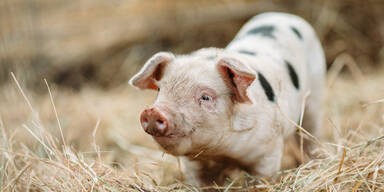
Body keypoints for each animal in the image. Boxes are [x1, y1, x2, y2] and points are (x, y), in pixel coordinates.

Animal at [128, 12, 324, 186]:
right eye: (160, 90)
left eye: (206, 97)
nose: (152, 112)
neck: (222, 153)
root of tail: (284, 16)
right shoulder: (193, 164)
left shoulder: (269, 151)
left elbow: (262, 179)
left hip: (315, 97)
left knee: (309, 134)